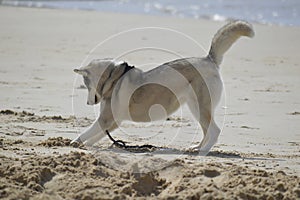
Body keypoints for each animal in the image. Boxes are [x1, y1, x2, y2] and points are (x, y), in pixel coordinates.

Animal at [72, 20, 253, 153]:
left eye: (86, 85)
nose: (88, 103)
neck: (113, 78)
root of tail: (208, 60)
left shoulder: (106, 119)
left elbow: (86, 132)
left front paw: (74, 142)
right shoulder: (112, 121)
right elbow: (95, 136)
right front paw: (85, 145)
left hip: (201, 107)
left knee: (215, 131)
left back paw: (204, 150)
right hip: (195, 107)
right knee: (207, 131)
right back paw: (197, 147)